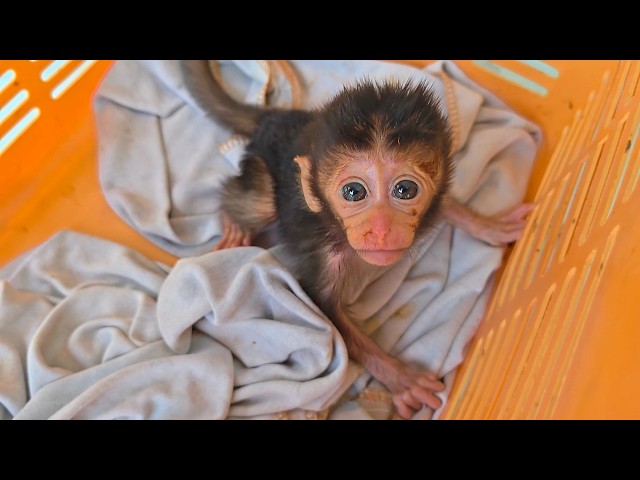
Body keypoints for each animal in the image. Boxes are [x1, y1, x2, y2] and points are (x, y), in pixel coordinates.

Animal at [180, 60, 533, 419]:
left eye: (405, 189)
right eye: (354, 192)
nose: (380, 228)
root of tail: (272, 118)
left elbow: (447, 203)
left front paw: (488, 226)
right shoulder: (324, 259)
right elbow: (330, 316)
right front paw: (402, 380)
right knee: (261, 202)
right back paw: (235, 225)